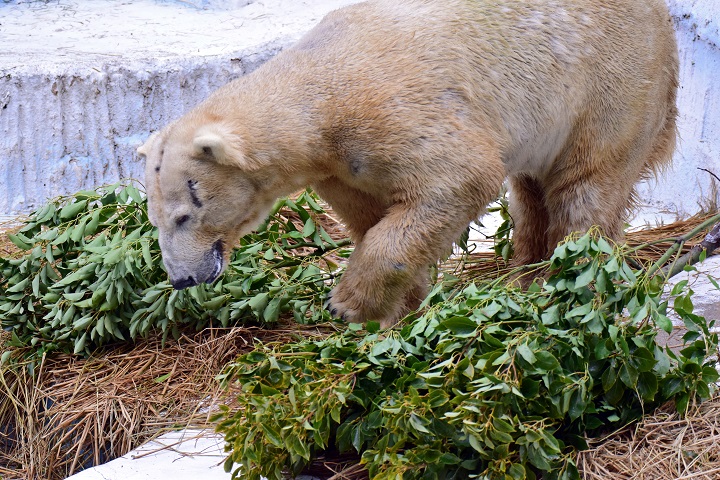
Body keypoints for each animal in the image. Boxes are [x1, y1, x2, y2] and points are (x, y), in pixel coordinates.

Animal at [138, 0, 676, 326]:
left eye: (184, 214)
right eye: (155, 218)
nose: (182, 278)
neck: (321, 94)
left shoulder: (396, 109)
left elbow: (457, 179)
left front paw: (347, 304)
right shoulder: (341, 164)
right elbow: (375, 214)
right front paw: (399, 308)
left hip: (608, 83)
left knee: (586, 186)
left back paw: (568, 280)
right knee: (529, 194)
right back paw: (525, 274)